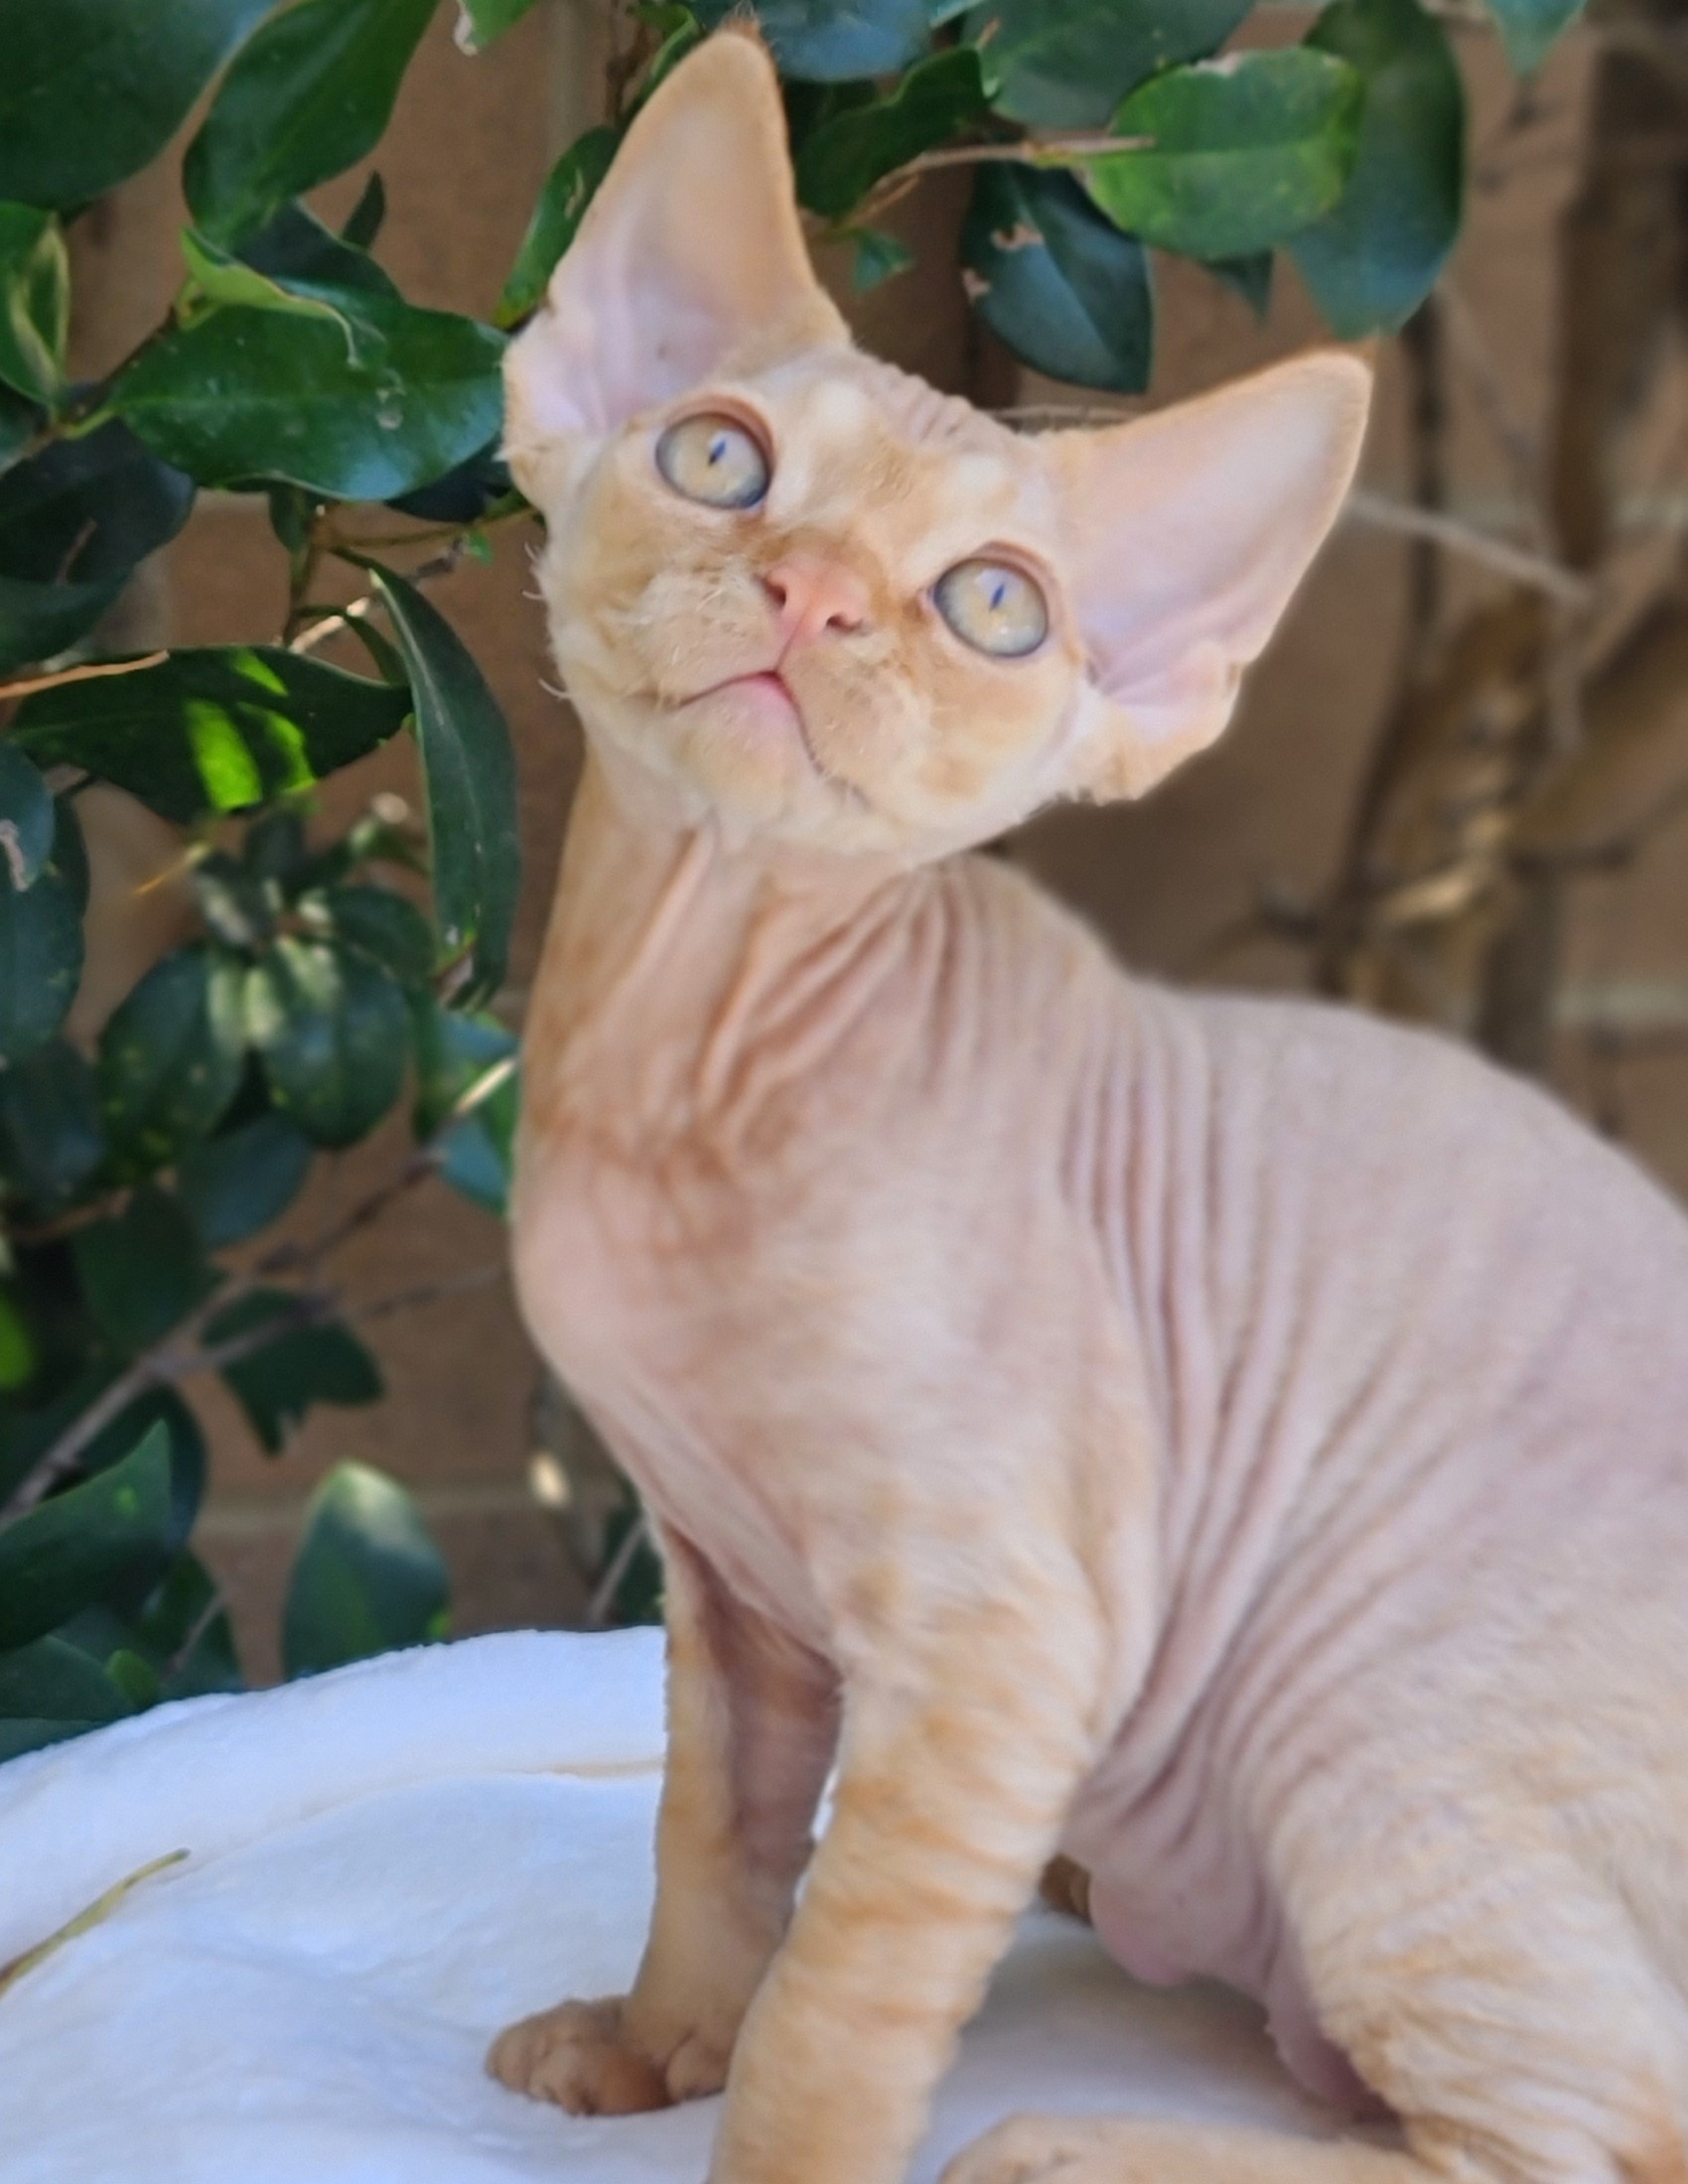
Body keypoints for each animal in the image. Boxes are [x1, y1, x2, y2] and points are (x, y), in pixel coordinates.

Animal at [487, 30, 1688, 2184]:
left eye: (989, 605)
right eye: (720, 459)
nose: (813, 594)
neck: (689, 1048)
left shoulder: (998, 1645)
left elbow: (837, 2001)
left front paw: (763, 2124)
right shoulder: (729, 1592)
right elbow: (712, 1852)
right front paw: (648, 2047)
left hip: (1369, 1725)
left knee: (1593, 2131)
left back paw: (1069, 2142)